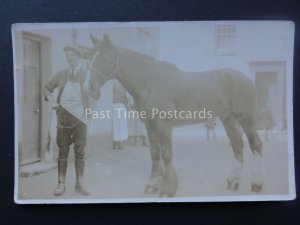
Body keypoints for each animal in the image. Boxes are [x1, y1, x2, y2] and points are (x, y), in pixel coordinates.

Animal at [86, 33, 262, 197]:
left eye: (104, 57)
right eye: (90, 57)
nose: (90, 88)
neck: (150, 81)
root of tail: (246, 79)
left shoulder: (164, 125)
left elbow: (166, 155)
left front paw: (168, 189)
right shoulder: (150, 125)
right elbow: (154, 154)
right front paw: (152, 185)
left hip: (246, 120)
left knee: (255, 145)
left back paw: (257, 184)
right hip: (228, 119)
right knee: (238, 146)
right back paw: (233, 181)